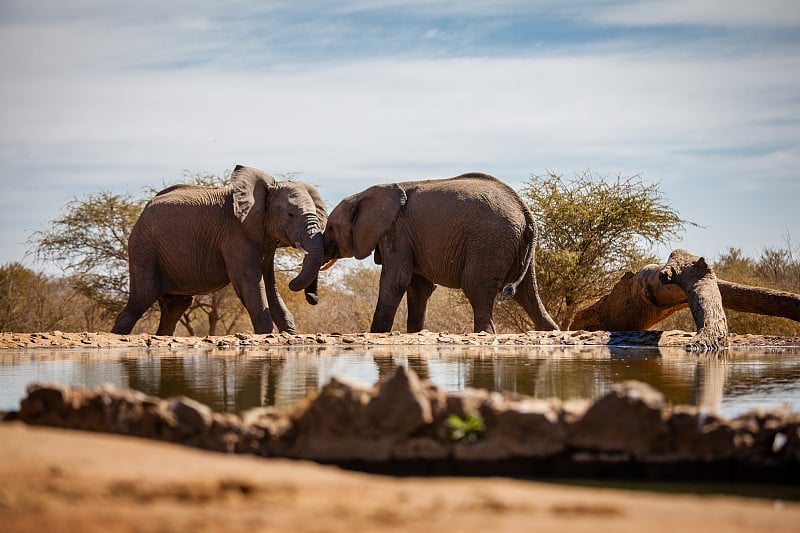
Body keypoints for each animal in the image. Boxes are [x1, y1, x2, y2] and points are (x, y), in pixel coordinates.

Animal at [111, 164, 326, 334]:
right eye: (290, 214)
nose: (312, 298)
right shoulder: (235, 234)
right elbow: (250, 282)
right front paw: (267, 334)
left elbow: (269, 283)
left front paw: (289, 332)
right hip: (143, 247)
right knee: (142, 298)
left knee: (175, 306)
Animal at [322, 171, 560, 332]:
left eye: (331, 228)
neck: (364, 194)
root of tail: (524, 210)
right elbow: (419, 287)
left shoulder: (395, 230)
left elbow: (396, 280)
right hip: (518, 248)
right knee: (528, 294)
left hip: (490, 243)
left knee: (476, 288)